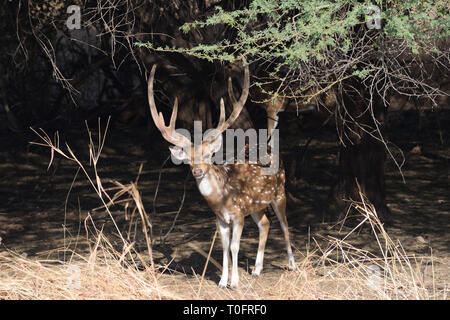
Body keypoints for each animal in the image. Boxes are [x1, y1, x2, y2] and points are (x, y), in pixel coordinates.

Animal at [148, 61, 296, 288]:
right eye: (188, 158)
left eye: (209, 154)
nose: (198, 170)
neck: (222, 199)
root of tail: (272, 149)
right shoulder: (220, 218)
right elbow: (224, 247)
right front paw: (222, 281)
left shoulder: (238, 213)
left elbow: (234, 247)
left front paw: (234, 283)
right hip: (256, 206)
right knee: (265, 224)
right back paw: (256, 269)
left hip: (279, 192)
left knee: (285, 225)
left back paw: (292, 265)